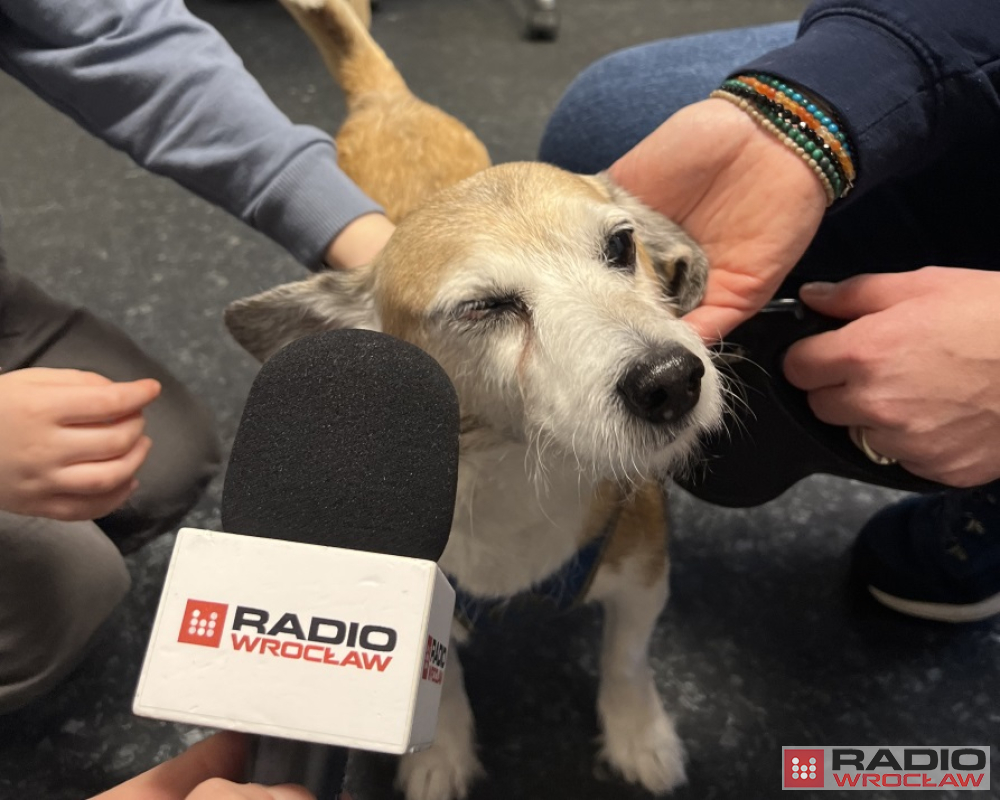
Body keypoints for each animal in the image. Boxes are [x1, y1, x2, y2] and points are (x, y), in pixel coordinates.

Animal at [227, 3, 728, 796]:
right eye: (485, 307)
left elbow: (626, 660)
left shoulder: (644, 572)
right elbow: (441, 672)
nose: (671, 379)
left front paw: (638, 733)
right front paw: (437, 752)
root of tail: (386, 99)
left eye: (621, 247)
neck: (520, 472)